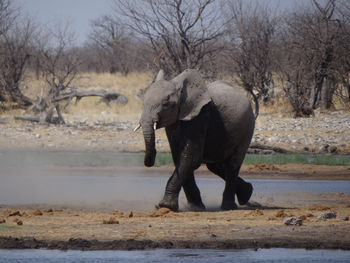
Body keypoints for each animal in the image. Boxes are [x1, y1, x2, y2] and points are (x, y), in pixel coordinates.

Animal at [136, 69, 254, 211]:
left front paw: (165, 206)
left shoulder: (200, 116)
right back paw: (247, 193)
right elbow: (179, 157)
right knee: (215, 165)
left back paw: (229, 207)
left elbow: (190, 157)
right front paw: (195, 207)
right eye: (143, 103)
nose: (153, 155)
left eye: (166, 104)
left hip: (248, 128)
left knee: (232, 164)